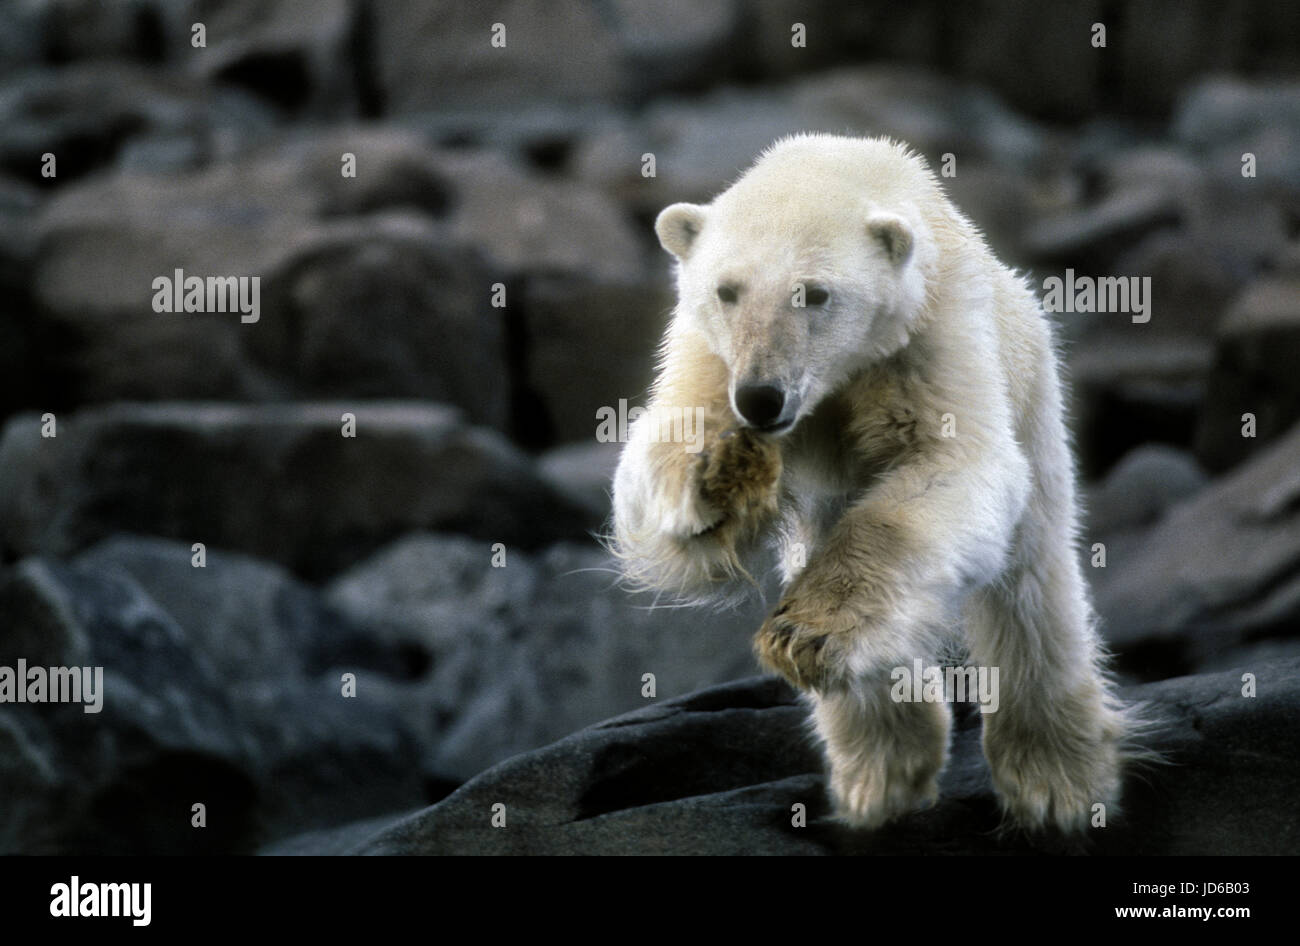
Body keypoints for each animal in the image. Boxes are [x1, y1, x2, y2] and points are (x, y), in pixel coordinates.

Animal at [605, 135, 1138, 836]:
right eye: (727, 290)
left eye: (814, 294)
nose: (762, 397)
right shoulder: (707, 355)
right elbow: (655, 468)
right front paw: (721, 478)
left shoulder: (933, 332)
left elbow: (952, 466)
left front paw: (806, 633)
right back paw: (879, 776)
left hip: (1033, 395)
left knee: (1031, 592)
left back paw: (1058, 782)